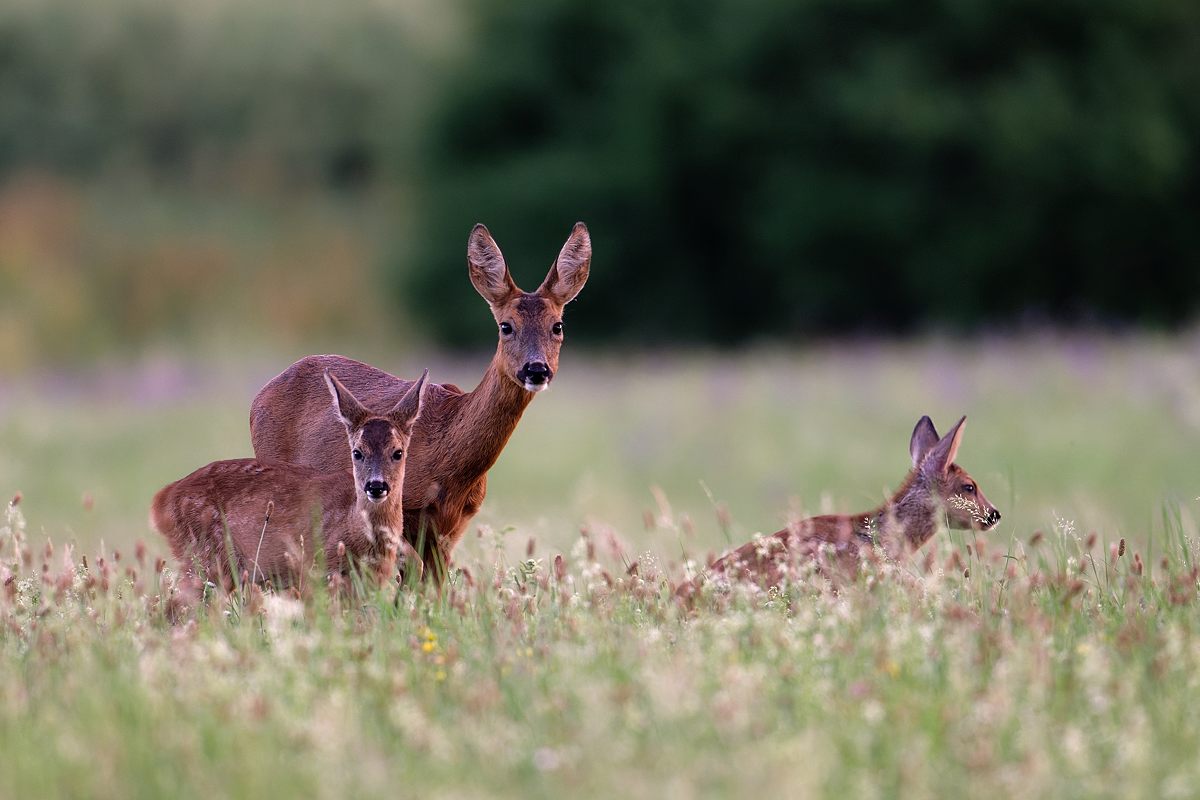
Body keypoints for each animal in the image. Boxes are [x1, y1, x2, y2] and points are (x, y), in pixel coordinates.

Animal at [152, 371, 429, 592]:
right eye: (357, 452)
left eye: (398, 452)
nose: (376, 486)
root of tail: (162, 500)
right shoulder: (314, 574)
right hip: (208, 557)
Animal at [249, 224, 595, 582]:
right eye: (506, 326)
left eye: (557, 326)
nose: (536, 369)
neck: (450, 459)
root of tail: (260, 395)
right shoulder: (404, 507)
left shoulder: (453, 528)